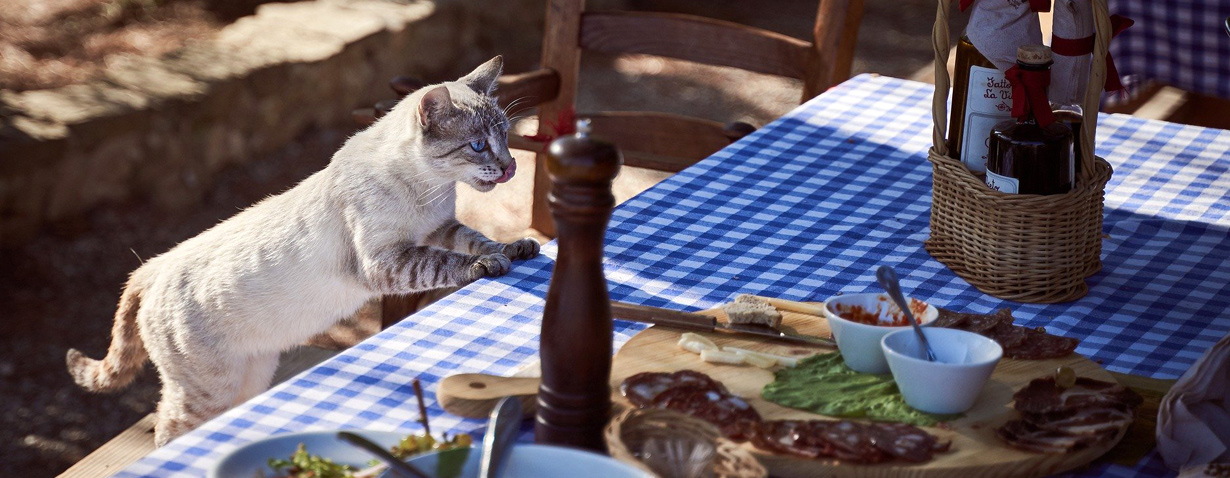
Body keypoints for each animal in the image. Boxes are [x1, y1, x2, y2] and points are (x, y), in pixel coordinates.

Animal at [66, 56, 538, 447]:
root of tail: (154, 265)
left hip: (251, 376)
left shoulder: (439, 227)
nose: (511, 166)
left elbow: (476, 237)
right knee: (167, 429)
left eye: (506, 136)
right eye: (477, 145)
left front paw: (517, 247)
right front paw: (489, 263)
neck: (430, 190)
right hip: (208, 389)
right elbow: (451, 261)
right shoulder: (386, 261)